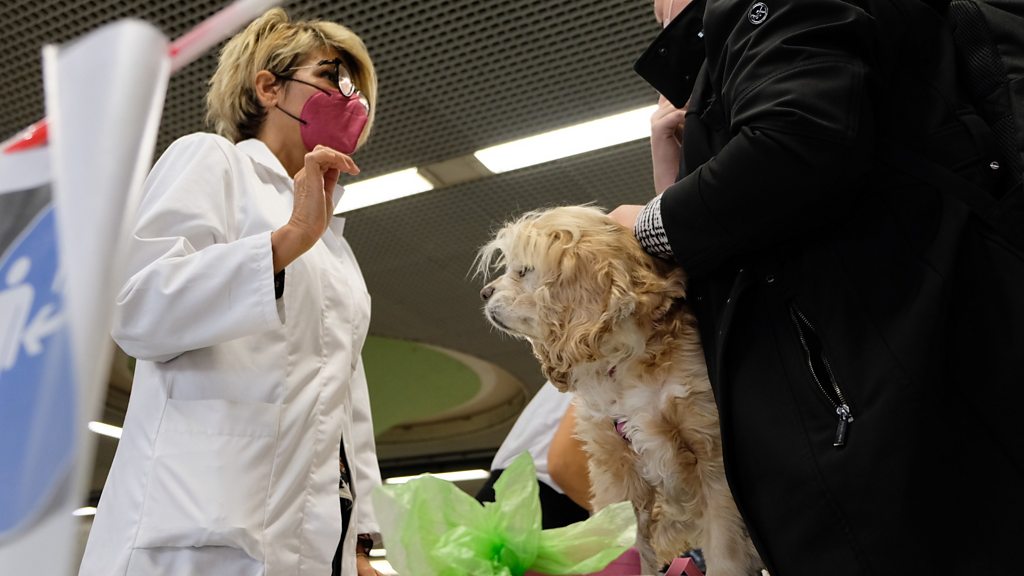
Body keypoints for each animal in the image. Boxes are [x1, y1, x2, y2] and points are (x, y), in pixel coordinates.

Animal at [477, 206, 762, 576]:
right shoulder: (614, 467)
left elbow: (723, 548)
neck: (625, 360)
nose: (484, 293)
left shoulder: (710, 452)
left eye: (523, 271)